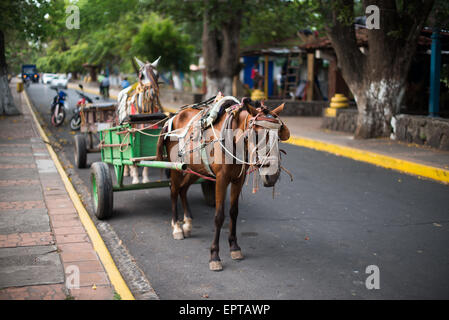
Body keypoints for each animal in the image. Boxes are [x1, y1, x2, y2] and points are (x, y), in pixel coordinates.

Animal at [156, 97, 288, 270]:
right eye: (256, 134)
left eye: (278, 136)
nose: (272, 176)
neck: (233, 140)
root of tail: (173, 117)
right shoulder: (221, 179)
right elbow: (219, 216)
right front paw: (214, 256)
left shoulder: (238, 179)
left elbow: (233, 212)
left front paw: (234, 247)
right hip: (176, 167)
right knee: (173, 191)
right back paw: (177, 227)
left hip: (194, 168)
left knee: (183, 190)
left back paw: (188, 223)